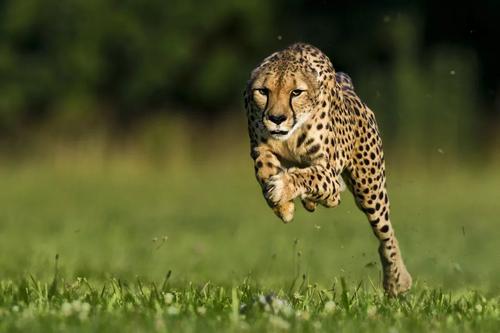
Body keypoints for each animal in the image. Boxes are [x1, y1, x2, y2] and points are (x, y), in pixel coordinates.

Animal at [244, 42, 412, 294]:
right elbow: (264, 169)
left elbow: (308, 177)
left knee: (386, 233)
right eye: (263, 91)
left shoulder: (328, 171)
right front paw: (283, 206)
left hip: (369, 189)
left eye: (296, 92)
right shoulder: (260, 148)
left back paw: (397, 280)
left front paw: (283, 188)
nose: (276, 118)